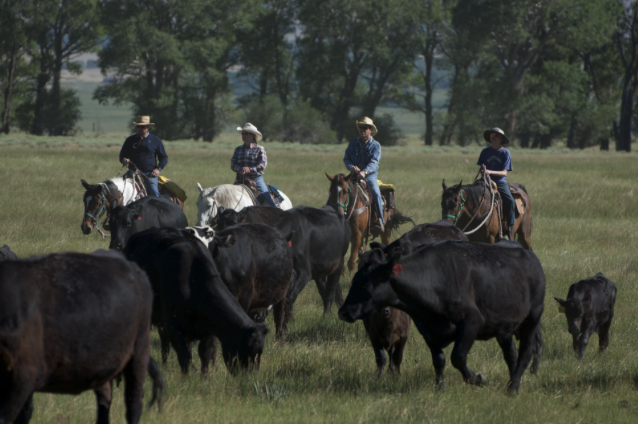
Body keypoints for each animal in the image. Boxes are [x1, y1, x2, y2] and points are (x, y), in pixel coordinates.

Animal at [124, 229, 268, 374]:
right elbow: (184, 356)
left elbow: (205, 353)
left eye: (261, 352)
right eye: (251, 351)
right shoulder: (172, 326)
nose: (252, 375)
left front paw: (204, 376)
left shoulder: (209, 328)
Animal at [342, 242, 548, 394]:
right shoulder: (427, 330)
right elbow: (439, 360)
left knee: (525, 353)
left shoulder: (472, 321)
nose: (342, 312)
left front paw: (478, 378)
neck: (435, 280)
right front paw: (439, 387)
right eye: (354, 280)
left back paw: (513, 388)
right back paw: (512, 383)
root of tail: (531, 256)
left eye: (366, 284)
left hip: (532, 318)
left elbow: (457, 357)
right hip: (504, 328)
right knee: (511, 354)